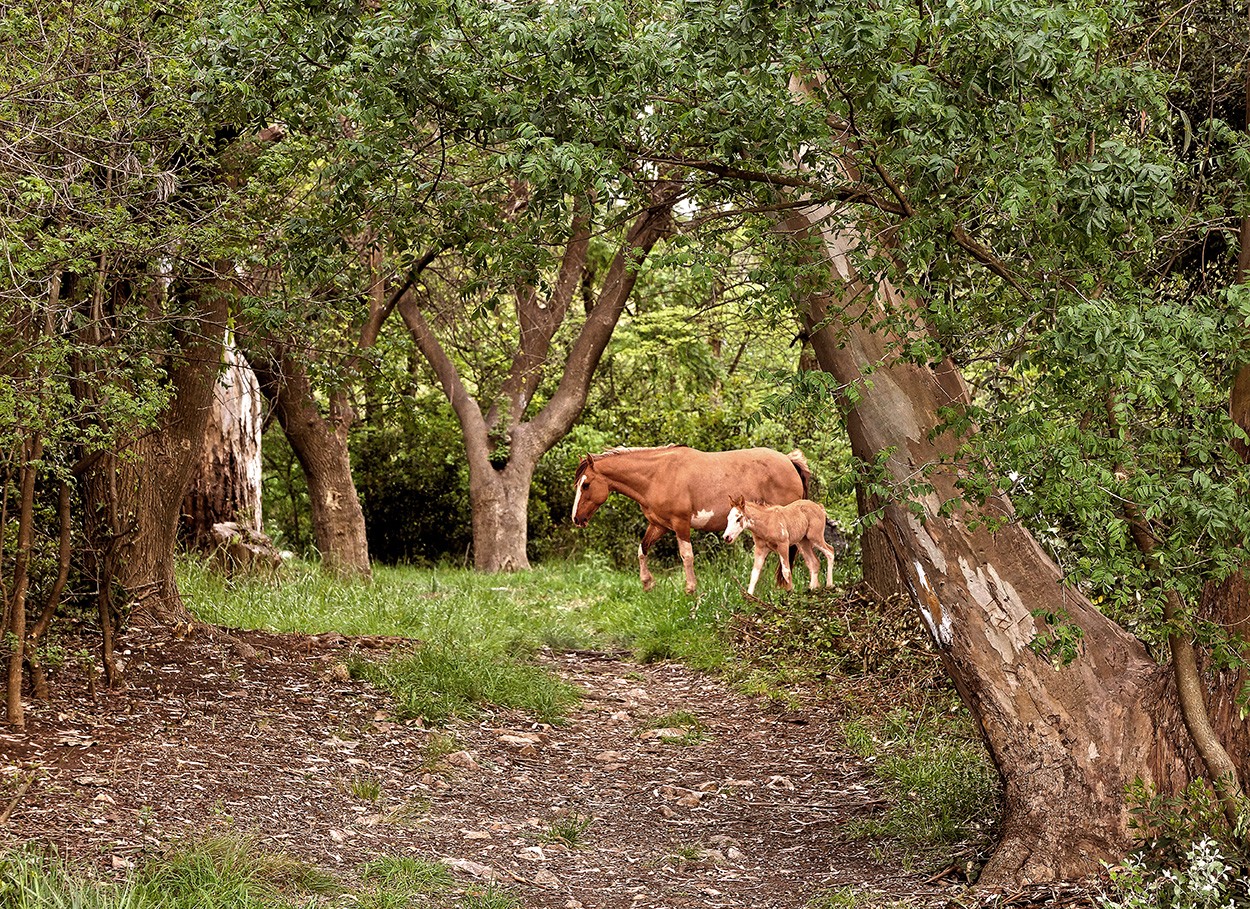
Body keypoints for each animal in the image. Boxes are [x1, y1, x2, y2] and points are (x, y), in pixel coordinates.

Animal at [572, 445, 810, 592]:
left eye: (586, 485)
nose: (576, 518)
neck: (657, 475)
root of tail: (789, 461)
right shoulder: (659, 525)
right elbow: (642, 550)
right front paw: (647, 583)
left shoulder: (681, 524)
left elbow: (686, 556)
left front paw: (690, 588)